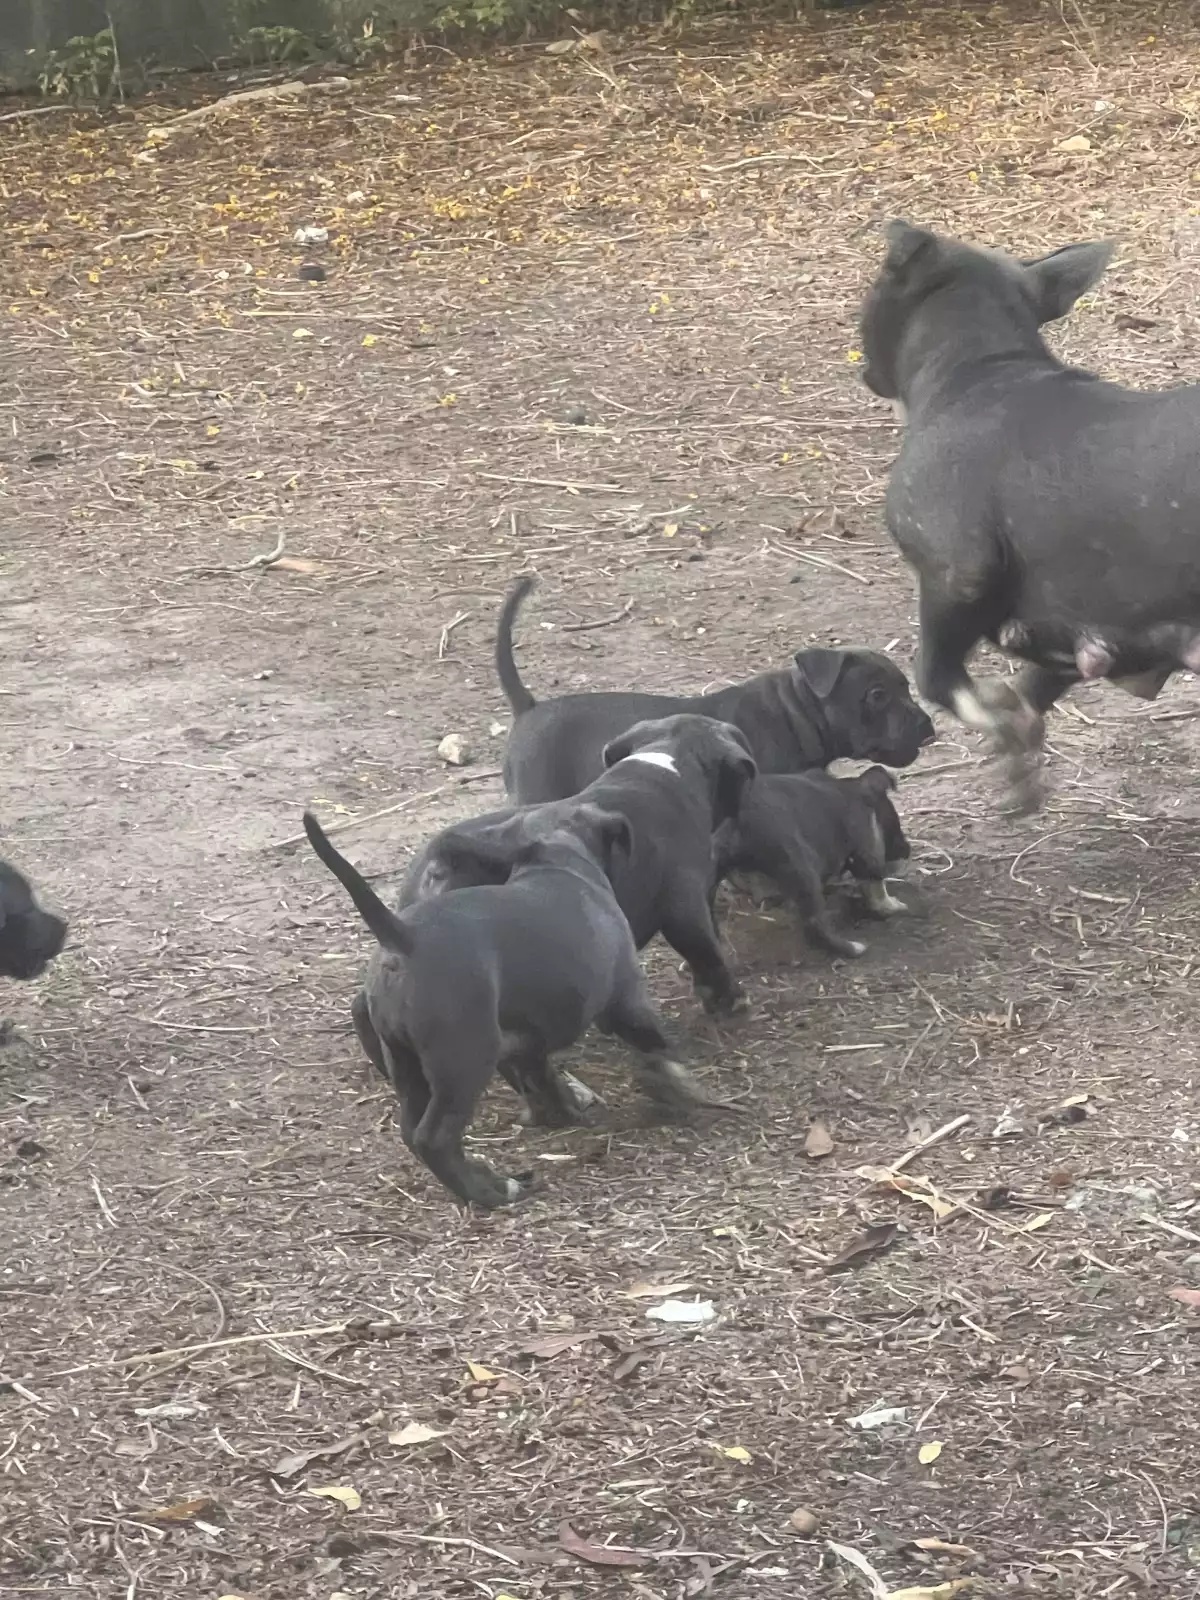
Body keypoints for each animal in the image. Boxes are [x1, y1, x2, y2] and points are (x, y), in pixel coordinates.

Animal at [303, 810, 724, 1209]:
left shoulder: (528, 1039)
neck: (556, 859)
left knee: (410, 1130)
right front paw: (682, 1086)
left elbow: (542, 1080)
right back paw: (489, 1192)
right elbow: (658, 1046)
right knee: (432, 1138)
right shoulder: (627, 1000)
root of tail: (405, 939)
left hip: (406, 1062)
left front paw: (562, 1111)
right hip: (465, 1062)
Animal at [712, 767, 910, 959]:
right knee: (814, 921)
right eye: (895, 823)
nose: (907, 850)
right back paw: (853, 948)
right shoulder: (867, 846)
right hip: (799, 865)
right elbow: (876, 884)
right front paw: (893, 906)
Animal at [859, 219, 1200, 809]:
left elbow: (935, 676)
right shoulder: (1088, 634)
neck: (980, 370)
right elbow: (1030, 690)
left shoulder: (955, 576)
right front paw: (1017, 749)